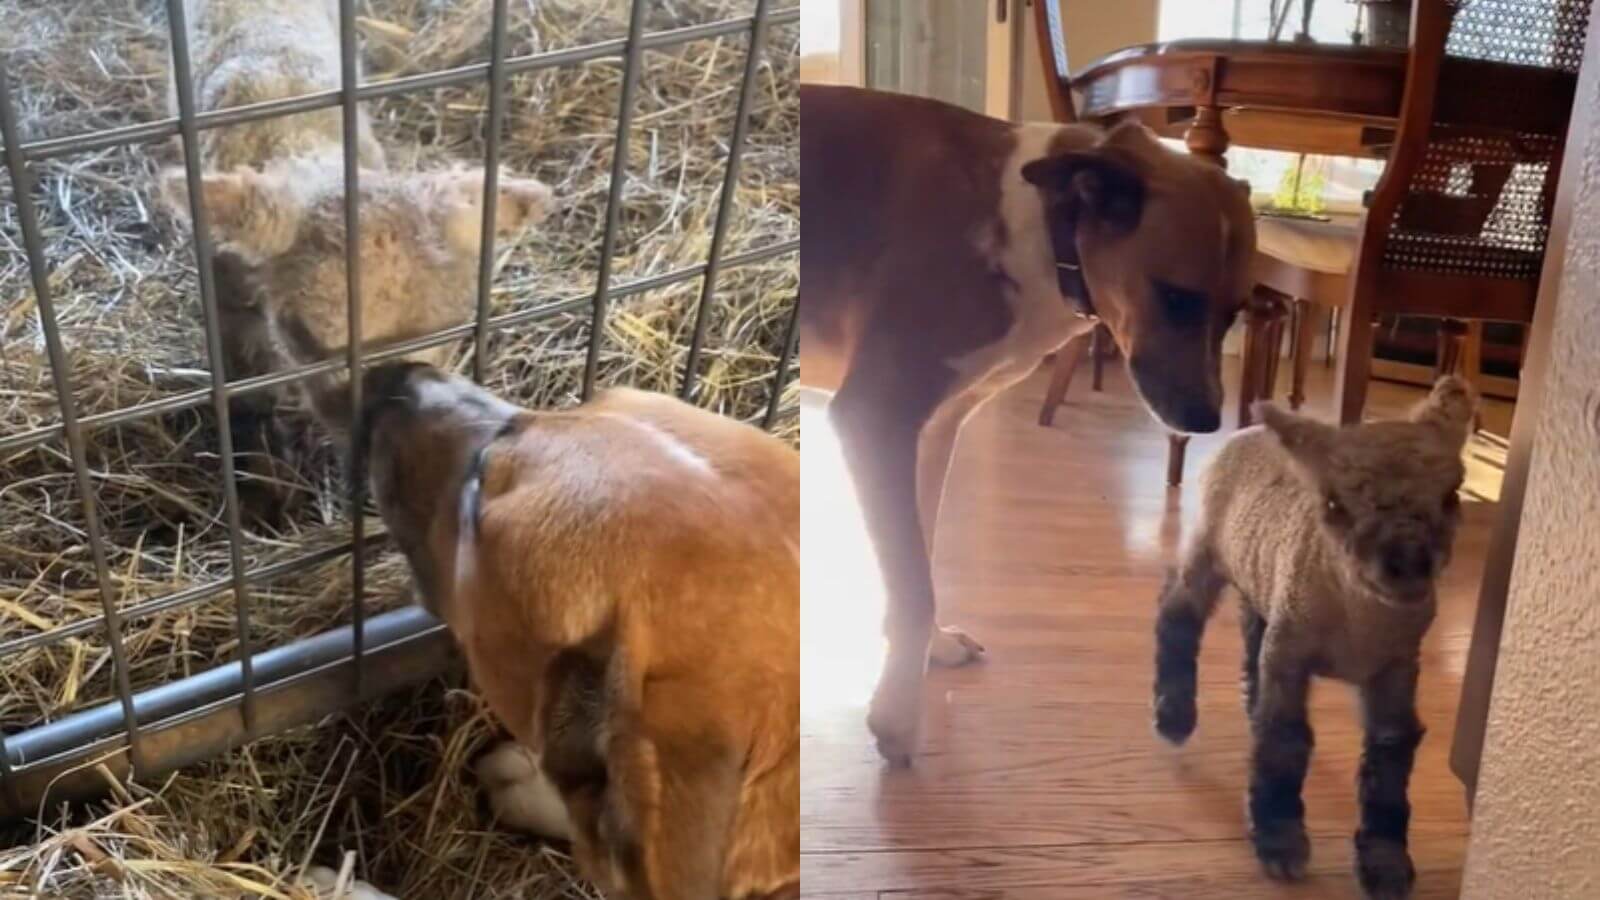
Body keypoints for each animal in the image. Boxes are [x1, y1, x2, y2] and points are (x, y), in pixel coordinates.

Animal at [806, 85, 1254, 762]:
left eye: (1235, 314)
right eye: (1177, 298)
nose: (1204, 422)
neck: (1043, 231)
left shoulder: (932, 431)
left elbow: (921, 558)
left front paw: (926, 649)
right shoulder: (876, 415)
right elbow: (913, 582)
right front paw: (897, 713)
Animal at [1152, 373, 1472, 896]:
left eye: (1452, 496)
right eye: (1334, 504)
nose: (1407, 563)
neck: (1357, 625)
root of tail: (1246, 432)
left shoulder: (1397, 665)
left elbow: (1391, 749)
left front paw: (1385, 861)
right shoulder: (1291, 649)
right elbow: (1284, 739)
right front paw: (1280, 841)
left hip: (1264, 578)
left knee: (1250, 626)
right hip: (1207, 547)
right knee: (1177, 611)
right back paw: (1174, 714)